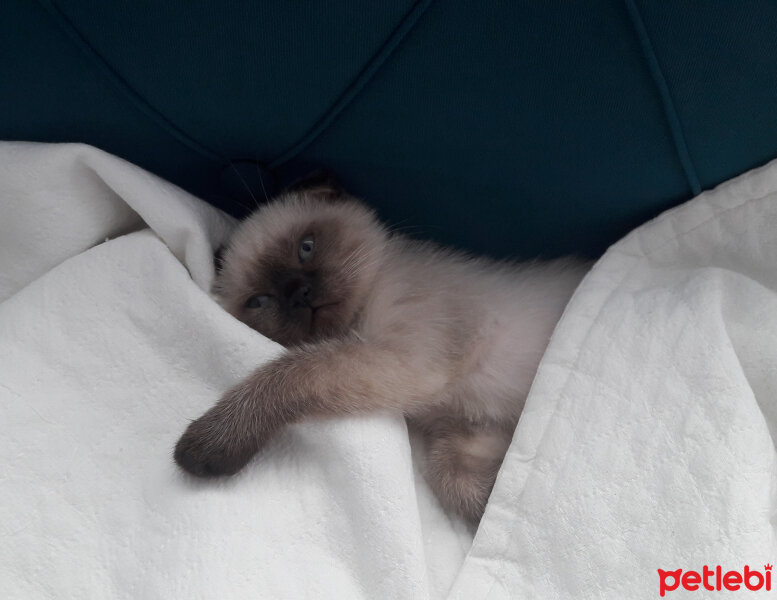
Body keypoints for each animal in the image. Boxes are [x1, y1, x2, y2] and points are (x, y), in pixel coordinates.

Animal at [176, 179, 588, 520]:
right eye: (259, 301)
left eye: (306, 248)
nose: (299, 295)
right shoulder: (471, 426)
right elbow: (458, 482)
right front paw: (504, 491)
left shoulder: (406, 358)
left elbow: (288, 373)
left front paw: (202, 447)